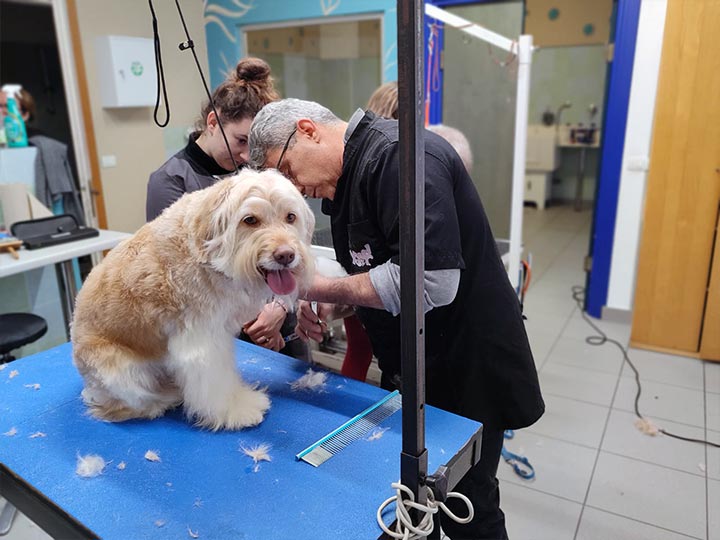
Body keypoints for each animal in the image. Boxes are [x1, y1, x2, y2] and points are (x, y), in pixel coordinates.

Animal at [72, 169, 316, 430]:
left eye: (290, 217)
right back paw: (161, 400)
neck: (208, 255)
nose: (286, 255)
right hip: (121, 373)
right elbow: (215, 383)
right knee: (122, 406)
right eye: (250, 220)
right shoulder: (201, 341)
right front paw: (236, 411)